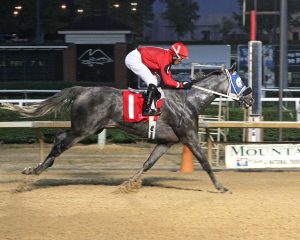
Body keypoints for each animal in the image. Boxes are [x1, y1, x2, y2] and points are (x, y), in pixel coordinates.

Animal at [3, 63, 254, 193]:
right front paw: (221, 187)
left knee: (60, 139)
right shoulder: (189, 137)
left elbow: (148, 163)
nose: (250, 99)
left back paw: (35, 170)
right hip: (84, 129)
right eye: (239, 81)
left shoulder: (166, 141)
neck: (189, 100)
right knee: (59, 140)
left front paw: (128, 184)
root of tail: (82, 90)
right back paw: (34, 171)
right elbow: (204, 162)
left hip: (89, 128)